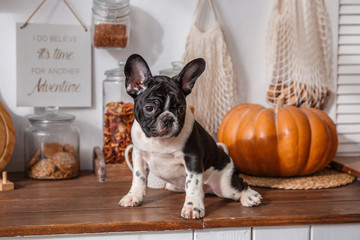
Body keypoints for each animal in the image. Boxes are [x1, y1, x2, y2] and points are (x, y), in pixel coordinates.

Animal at [119, 53, 262, 218]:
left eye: (181, 109)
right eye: (150, 108)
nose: (168, 119)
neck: (159, 140)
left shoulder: (192, 158)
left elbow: (193, 184)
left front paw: (193, 207)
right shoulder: (138, 155)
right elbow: (138, 177)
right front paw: (133, 196)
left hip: (226, 185)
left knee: (240, 185)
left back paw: (250, 197)